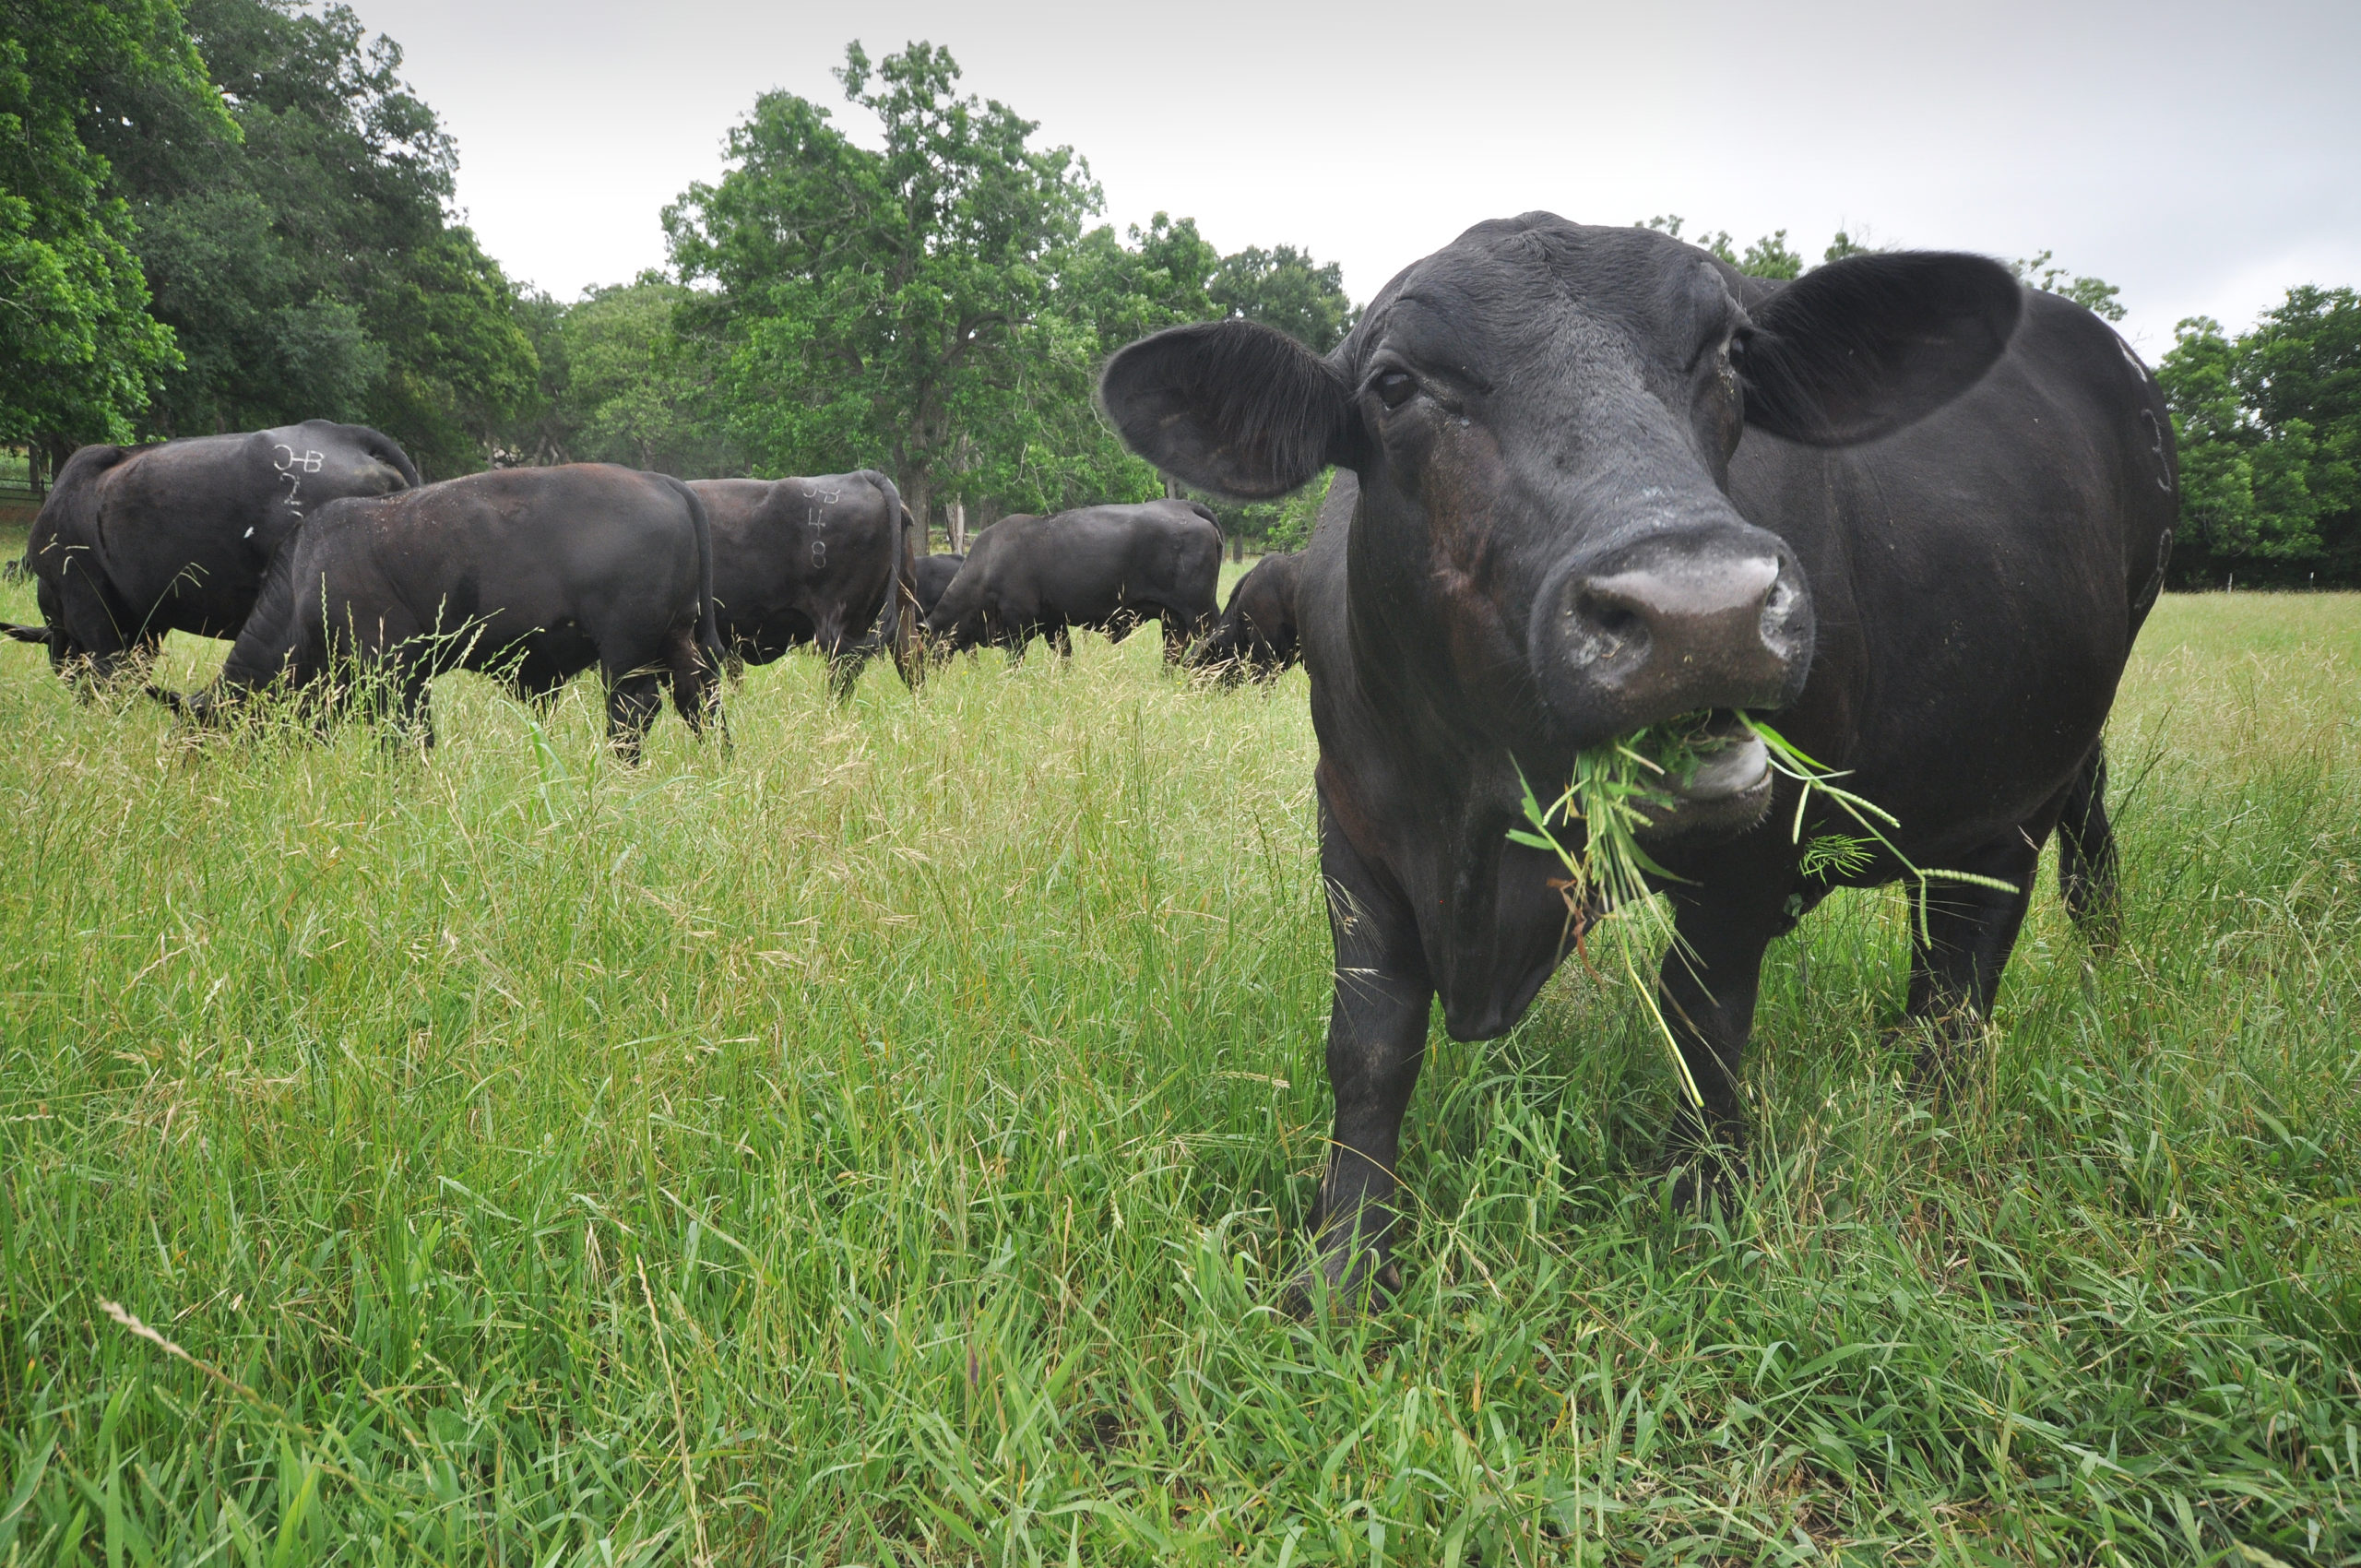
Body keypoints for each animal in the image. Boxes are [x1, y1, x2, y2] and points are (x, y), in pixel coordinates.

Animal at [153, 462, 722, 760]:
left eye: (201, 740)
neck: (302, 581)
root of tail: (664, 482)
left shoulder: (393, 671)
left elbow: (408, 735)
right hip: (680, 637)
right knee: (698, 699)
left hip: (625, 653)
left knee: (635, 710)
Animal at [920, 503, 1217, 660]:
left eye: (924, 647)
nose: (920, 681)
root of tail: (1183, 506)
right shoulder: (1055, 625)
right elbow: (1065, 656)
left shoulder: (1017, 629)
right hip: (1173, 621)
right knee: (1173, 653)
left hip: (1200, 616)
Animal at [1105, 214, 2172, 1303]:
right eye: (1395, 385)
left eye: (1731, 354)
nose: (1703, 611)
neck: (1481, 812)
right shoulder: (1355, 824)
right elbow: (1369, 1042)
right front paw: (1345, 1263)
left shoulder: (1751, 847)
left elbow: (1704, 1015)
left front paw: (1704, 1200)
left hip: (2035, 762)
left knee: (1976, 945)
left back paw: (1947, 1097)